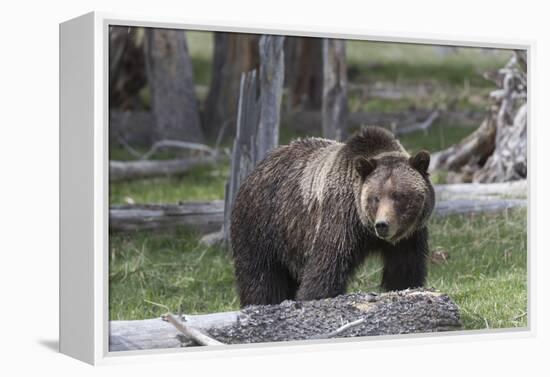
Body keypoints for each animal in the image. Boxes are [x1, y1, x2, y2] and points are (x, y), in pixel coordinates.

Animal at [230, 126, 436, 306]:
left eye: (399, 195)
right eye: (375, 198)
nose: (382, 225)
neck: (366, 229)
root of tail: (255, 169)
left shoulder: (409, 238)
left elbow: (405, 271)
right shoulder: (340, 218)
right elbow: (326, 267)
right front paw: (314, 296)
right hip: (262, 225)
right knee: (260, 276)